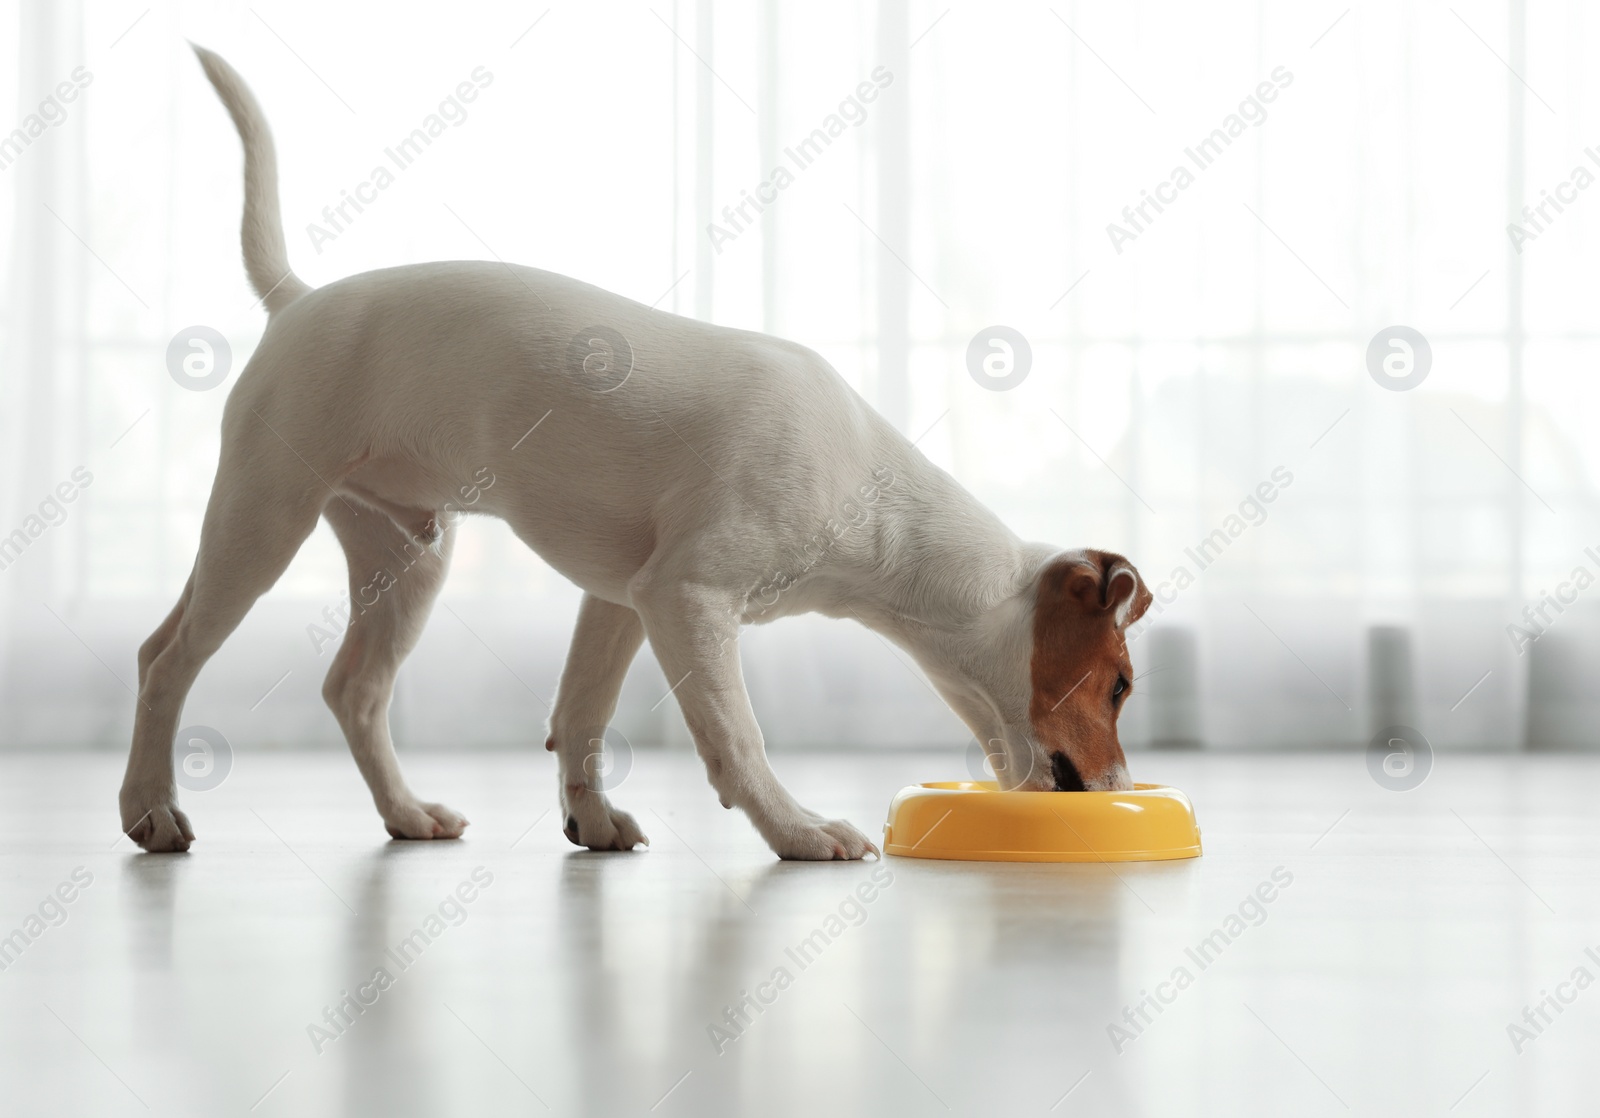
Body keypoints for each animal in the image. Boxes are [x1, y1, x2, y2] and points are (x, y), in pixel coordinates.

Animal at [121, 48, 1152, 863]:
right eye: (1121, 685)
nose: (1120, 792)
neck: (873, 495)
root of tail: (297, 299)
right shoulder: (685, 599)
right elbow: (738, 738)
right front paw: (798, 829)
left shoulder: (620, 600)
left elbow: (580, 715)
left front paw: (593, 821)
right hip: (262, 521)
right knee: (164, 657)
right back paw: (150, 810)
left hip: (409, 556)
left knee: (355, 690)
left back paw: (406, 814)